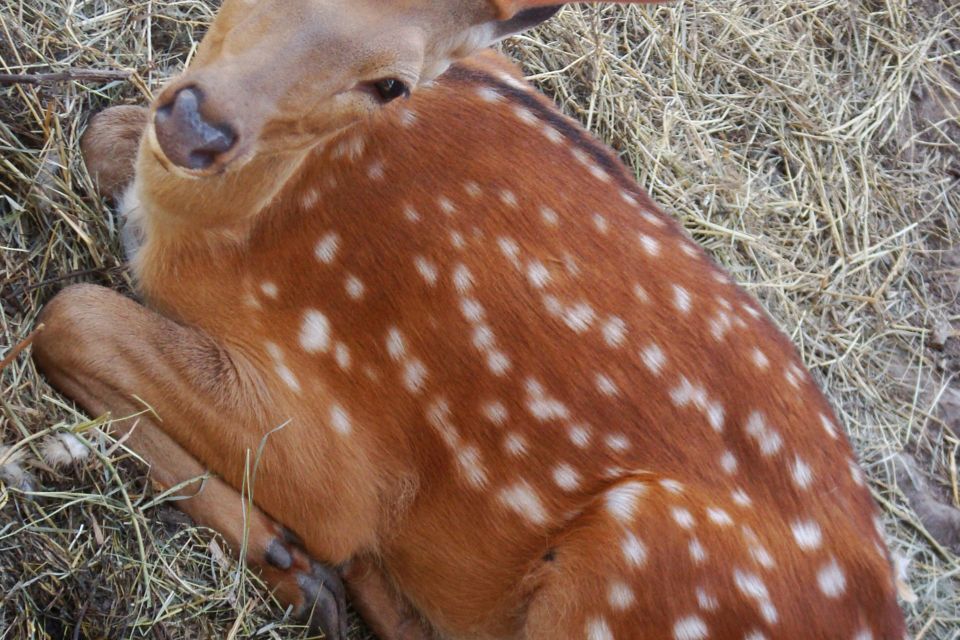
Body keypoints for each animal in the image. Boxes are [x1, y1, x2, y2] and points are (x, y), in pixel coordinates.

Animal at [35, 0, 908, 636]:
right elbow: (100, 133)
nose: (198, 126)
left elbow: (69, 315)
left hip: (638, 562)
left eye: (392, 84)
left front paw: (290, 553)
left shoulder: (342, 440)